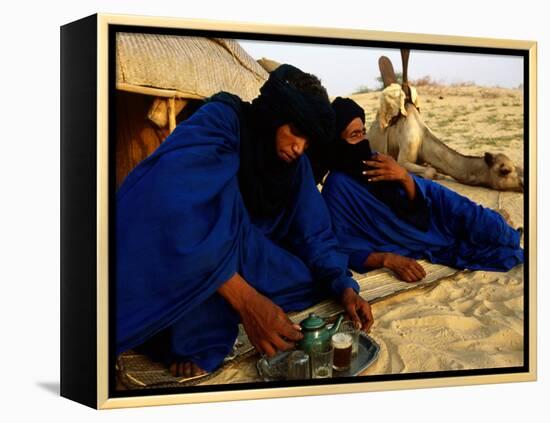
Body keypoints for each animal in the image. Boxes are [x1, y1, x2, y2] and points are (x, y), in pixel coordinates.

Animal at [366, 50, 528, 193]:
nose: (523, 183)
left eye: (515, 166)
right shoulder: (405, 153)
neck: (423, 139)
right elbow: (429, 171)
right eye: (505, 170)